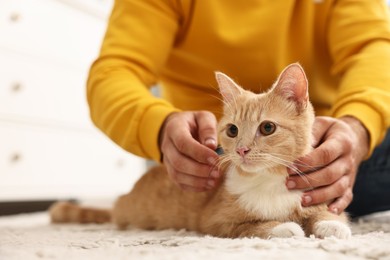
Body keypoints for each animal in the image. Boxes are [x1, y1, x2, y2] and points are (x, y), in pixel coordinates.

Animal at [50, 63, 352, 240]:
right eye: (232, 130)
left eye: (267, 128)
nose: (242, 150)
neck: (268, 180)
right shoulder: (216, 221)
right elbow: (249, 226)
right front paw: (282, 227)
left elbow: (326, 213)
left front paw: (333, 225)